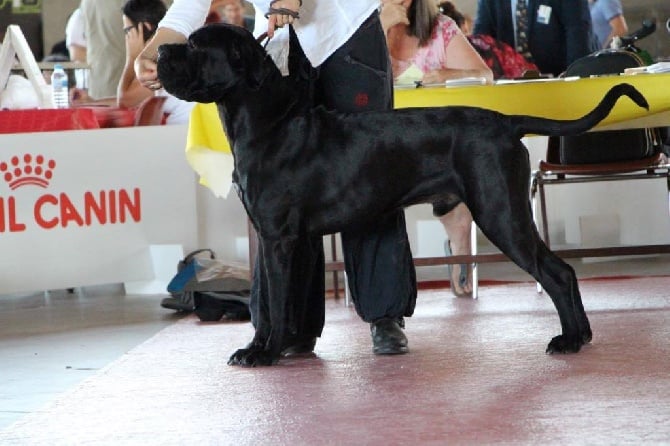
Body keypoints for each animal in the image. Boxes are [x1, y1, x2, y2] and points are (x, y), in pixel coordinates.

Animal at [156, 23, 652, 366]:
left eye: (197, 45)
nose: (160, 49)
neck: (267, 122)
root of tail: (506, 122)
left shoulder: (279, 238)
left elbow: (276, 304)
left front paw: (266, 353)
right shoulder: (275, 239)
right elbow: (271, 302)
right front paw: (262, 348)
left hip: (502, 213)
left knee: (558, 273)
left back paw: (569, 340)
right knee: (559, 272)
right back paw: (579, 336)